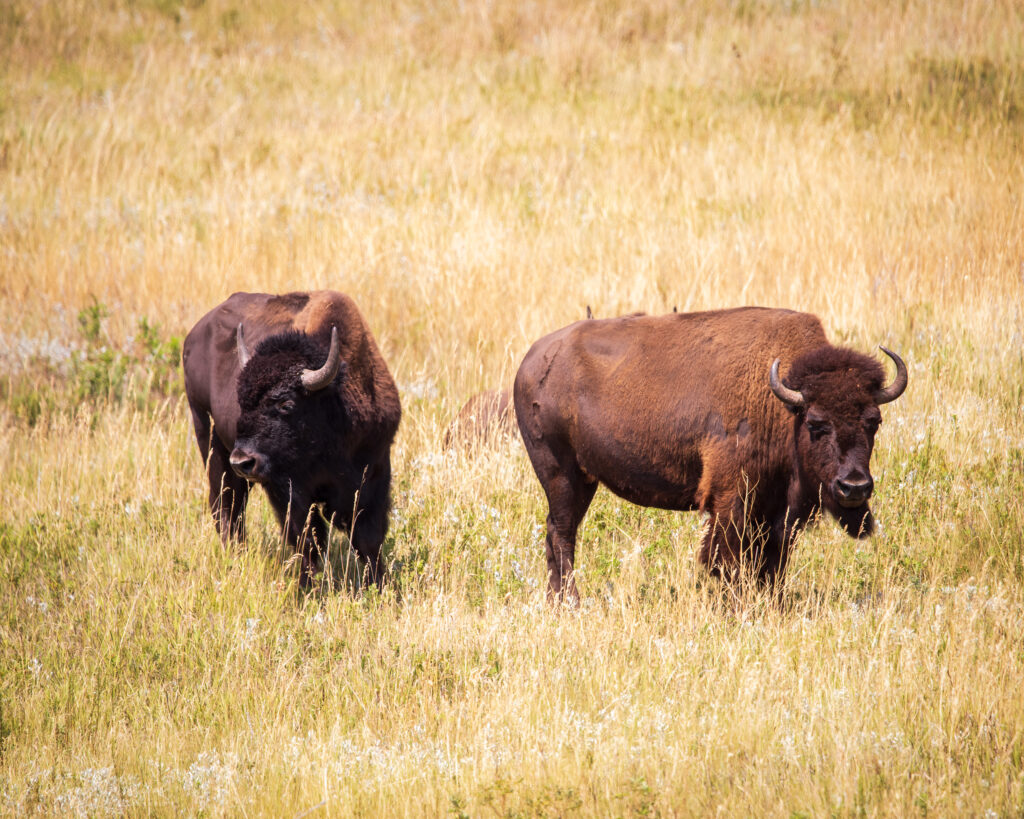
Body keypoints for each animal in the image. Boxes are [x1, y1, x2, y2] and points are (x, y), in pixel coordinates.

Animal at [184, 290, 399, 585]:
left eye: (286, 403)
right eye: (242, 401)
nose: (243, 461)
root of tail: (193, 336)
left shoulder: (375, 473)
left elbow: (368, 540)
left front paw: (380, 585)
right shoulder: (287, 489)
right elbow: (308, 540)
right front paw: (309, 587)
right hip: (210, 442)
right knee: (225, 508)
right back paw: (235, 558)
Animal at [516, 307, 909, 601]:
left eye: (874, 421)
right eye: (816, 423)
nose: (854, 487)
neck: (783, 405)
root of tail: (531, 360)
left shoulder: (778, 511)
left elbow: (773, 560)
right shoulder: (731, 498)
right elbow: (727, 557)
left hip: (582, 480)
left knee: (556, 533)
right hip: (560, 473)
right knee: (562, 534)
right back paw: (572, 603)